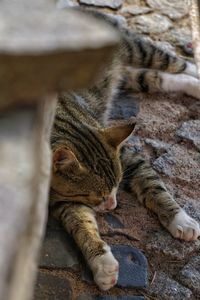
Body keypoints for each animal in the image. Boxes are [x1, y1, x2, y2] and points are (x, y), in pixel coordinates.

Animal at [48, 11, 200, 290]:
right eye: (92, 195)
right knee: (156, 78)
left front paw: (180, 220)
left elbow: (155, 186)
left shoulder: (130, 155)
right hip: (131, 76)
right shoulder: (63, 198)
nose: (112, 205)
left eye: (118, 183)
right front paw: (102, 264)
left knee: (177, 63)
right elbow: (81, 223)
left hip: (135, 48)